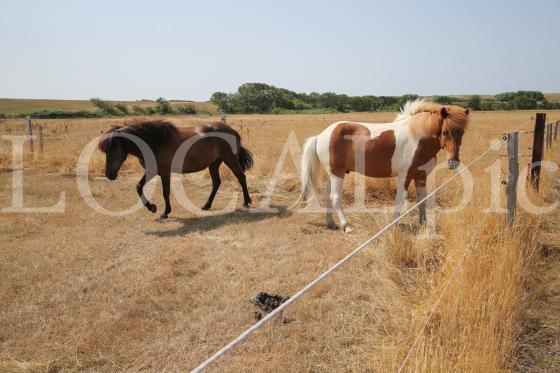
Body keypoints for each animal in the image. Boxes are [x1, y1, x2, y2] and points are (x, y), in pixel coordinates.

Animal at [98, 118, 252, 218]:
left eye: (113, 148)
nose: (109, 174)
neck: (155, 142)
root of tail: (232, 131)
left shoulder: (164, 172)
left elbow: (165, 192)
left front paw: (165, 212)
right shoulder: (152, 170)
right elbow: (138, 187)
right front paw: (152, 207)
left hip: (230, 160)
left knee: (241, 177)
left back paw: (246, 202)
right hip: (214, 163)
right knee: (216, 183)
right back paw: (206, 205)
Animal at [302, 99, 468, 232]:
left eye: (462, 133)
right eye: (445, 132)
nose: (453, 162)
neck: (417, 138)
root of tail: (321, 135)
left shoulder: (421, 176)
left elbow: (422, 199)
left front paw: (424, 223)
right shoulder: (405, 176)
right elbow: (400, 199)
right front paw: (394, 224)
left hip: (334, 173)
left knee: (327, 195)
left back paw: (331, 223)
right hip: (337, 173)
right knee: (335, 197)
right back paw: (346, 226)